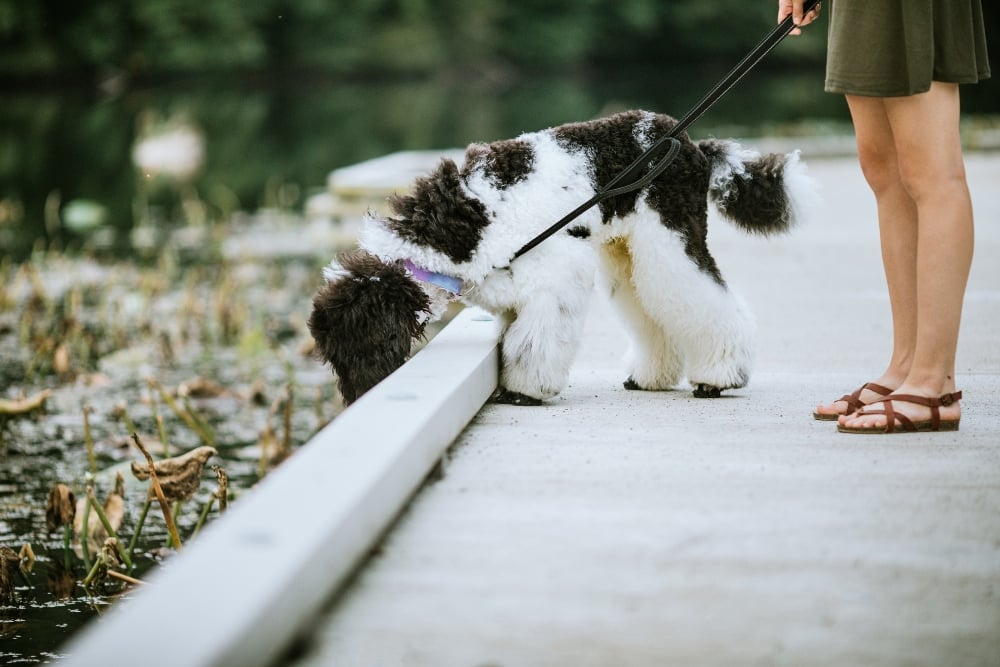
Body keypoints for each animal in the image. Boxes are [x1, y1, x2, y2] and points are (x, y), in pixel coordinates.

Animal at [308, 108, 816, 408]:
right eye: (332, 356)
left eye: (354, 348)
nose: (357, 398)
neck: (458, 230)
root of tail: (691, 144)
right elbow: (518, 336)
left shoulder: (557, 274)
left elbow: (536, 342)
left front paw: (526, 390)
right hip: (627, 253)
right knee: (651, 314)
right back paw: (650, 377)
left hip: (671, 241)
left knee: (710, 303)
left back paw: (720, 377)